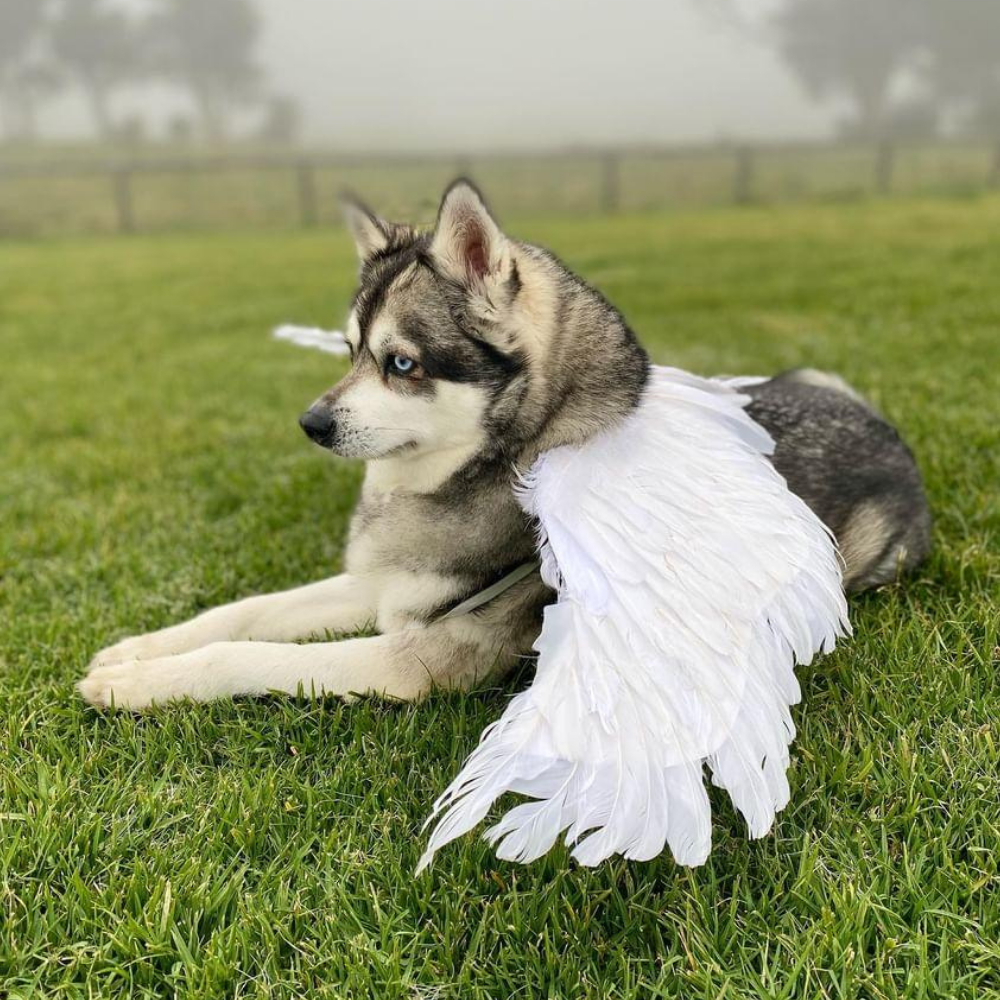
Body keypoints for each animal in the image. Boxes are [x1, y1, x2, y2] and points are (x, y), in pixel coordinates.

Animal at [76, 180, 928, 712]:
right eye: (349, 351)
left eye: (401, 364)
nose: (311, 424)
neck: (497, 464)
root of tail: (889, 434)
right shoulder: (383, 585)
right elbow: (244, 611)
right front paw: (135, 650)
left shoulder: (416, 658)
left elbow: (247, 656)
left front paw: (135, 686)